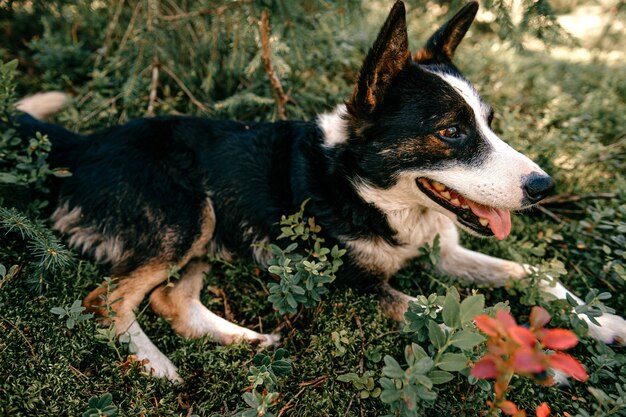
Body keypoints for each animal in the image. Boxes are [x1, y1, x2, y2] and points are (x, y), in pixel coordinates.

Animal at [13, 0, 624, 384]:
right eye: (451, 131)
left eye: (490, 122)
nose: (544, 186)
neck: (366, 190)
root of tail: (83, 144)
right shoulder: (358, 286)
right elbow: (459, 318)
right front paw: (538, 358)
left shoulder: (443, 252)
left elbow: (527, 271)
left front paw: (602, 323)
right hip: (186, 216)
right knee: (106, 300)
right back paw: (156, 365)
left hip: (213, 229)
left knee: (169, 298)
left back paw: (247, 340)